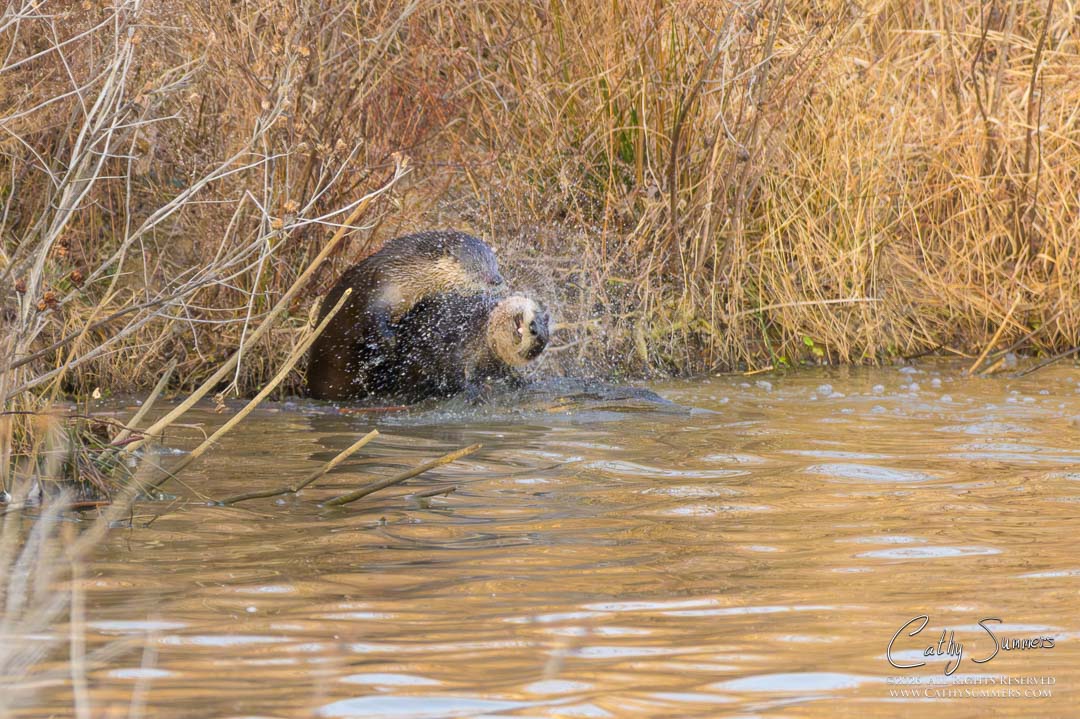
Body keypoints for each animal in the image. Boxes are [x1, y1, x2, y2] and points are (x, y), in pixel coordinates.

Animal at [306, 230, 505, 400]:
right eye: (476, 268)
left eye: (494, 264)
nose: (497, 279)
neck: (406, 272)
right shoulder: (378, 287)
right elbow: (373, 320)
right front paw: (392, 345)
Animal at [370, 292, 550, 403]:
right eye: (536, 315)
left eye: (538, 343)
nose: (534, 328)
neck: (482, 333)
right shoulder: (460, 343)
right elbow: (459, 370)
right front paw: (473, 393)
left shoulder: (494, 362)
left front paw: (521, 381)